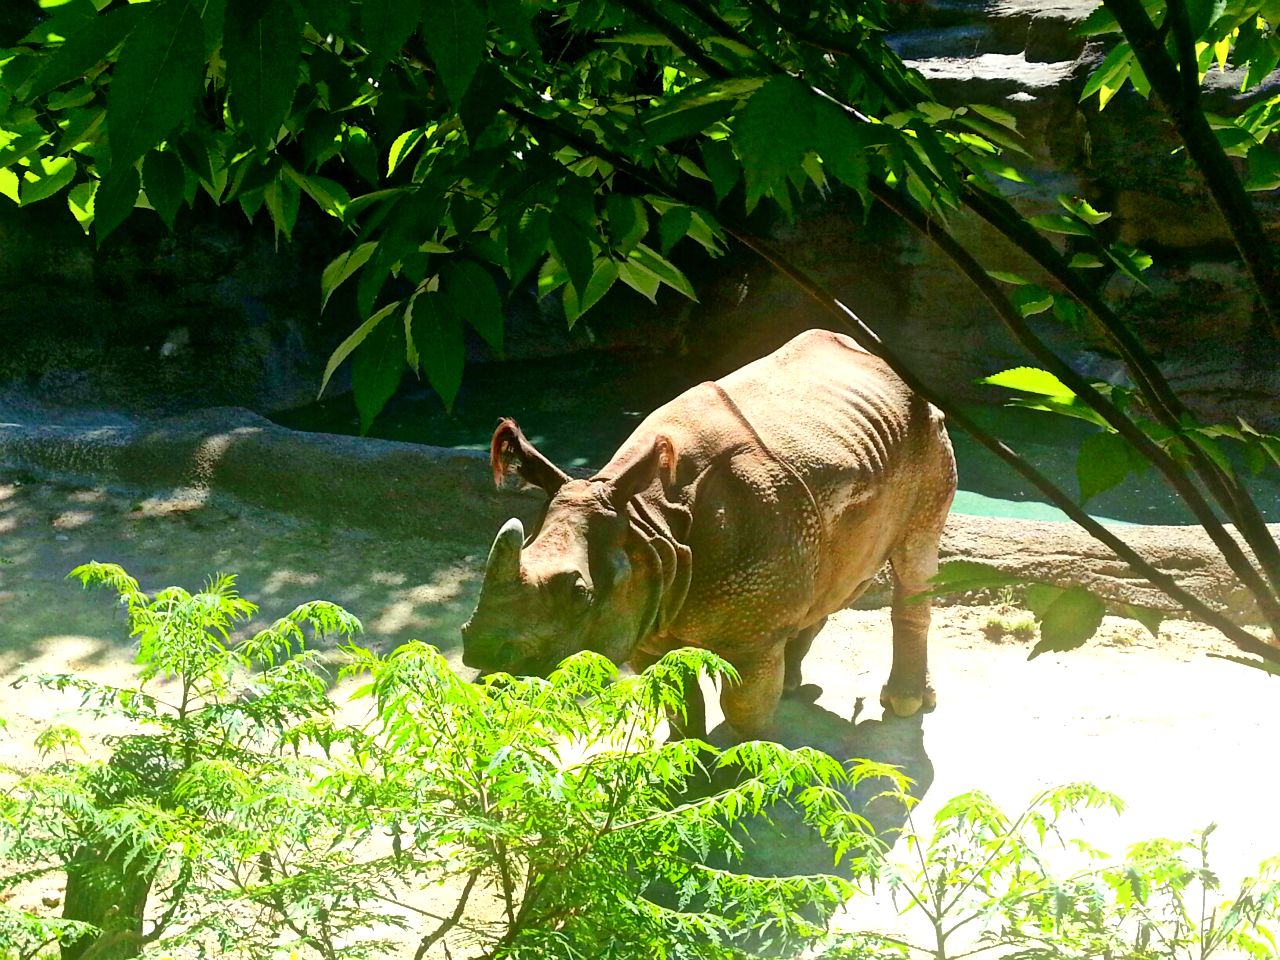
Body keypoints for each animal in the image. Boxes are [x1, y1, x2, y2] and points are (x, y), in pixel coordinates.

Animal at [461, 329, 957, 738]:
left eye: (580, 593)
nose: (481, 653)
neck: (648, 521)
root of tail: (895, 372)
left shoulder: (752, 638)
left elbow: (743, 709)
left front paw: (744, 770)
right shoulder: (649, 606)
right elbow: (678, 699)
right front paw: (685, 768)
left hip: (928, 437)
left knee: (915, 558)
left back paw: (905, 704)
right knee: (829, 572)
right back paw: (794, 684)